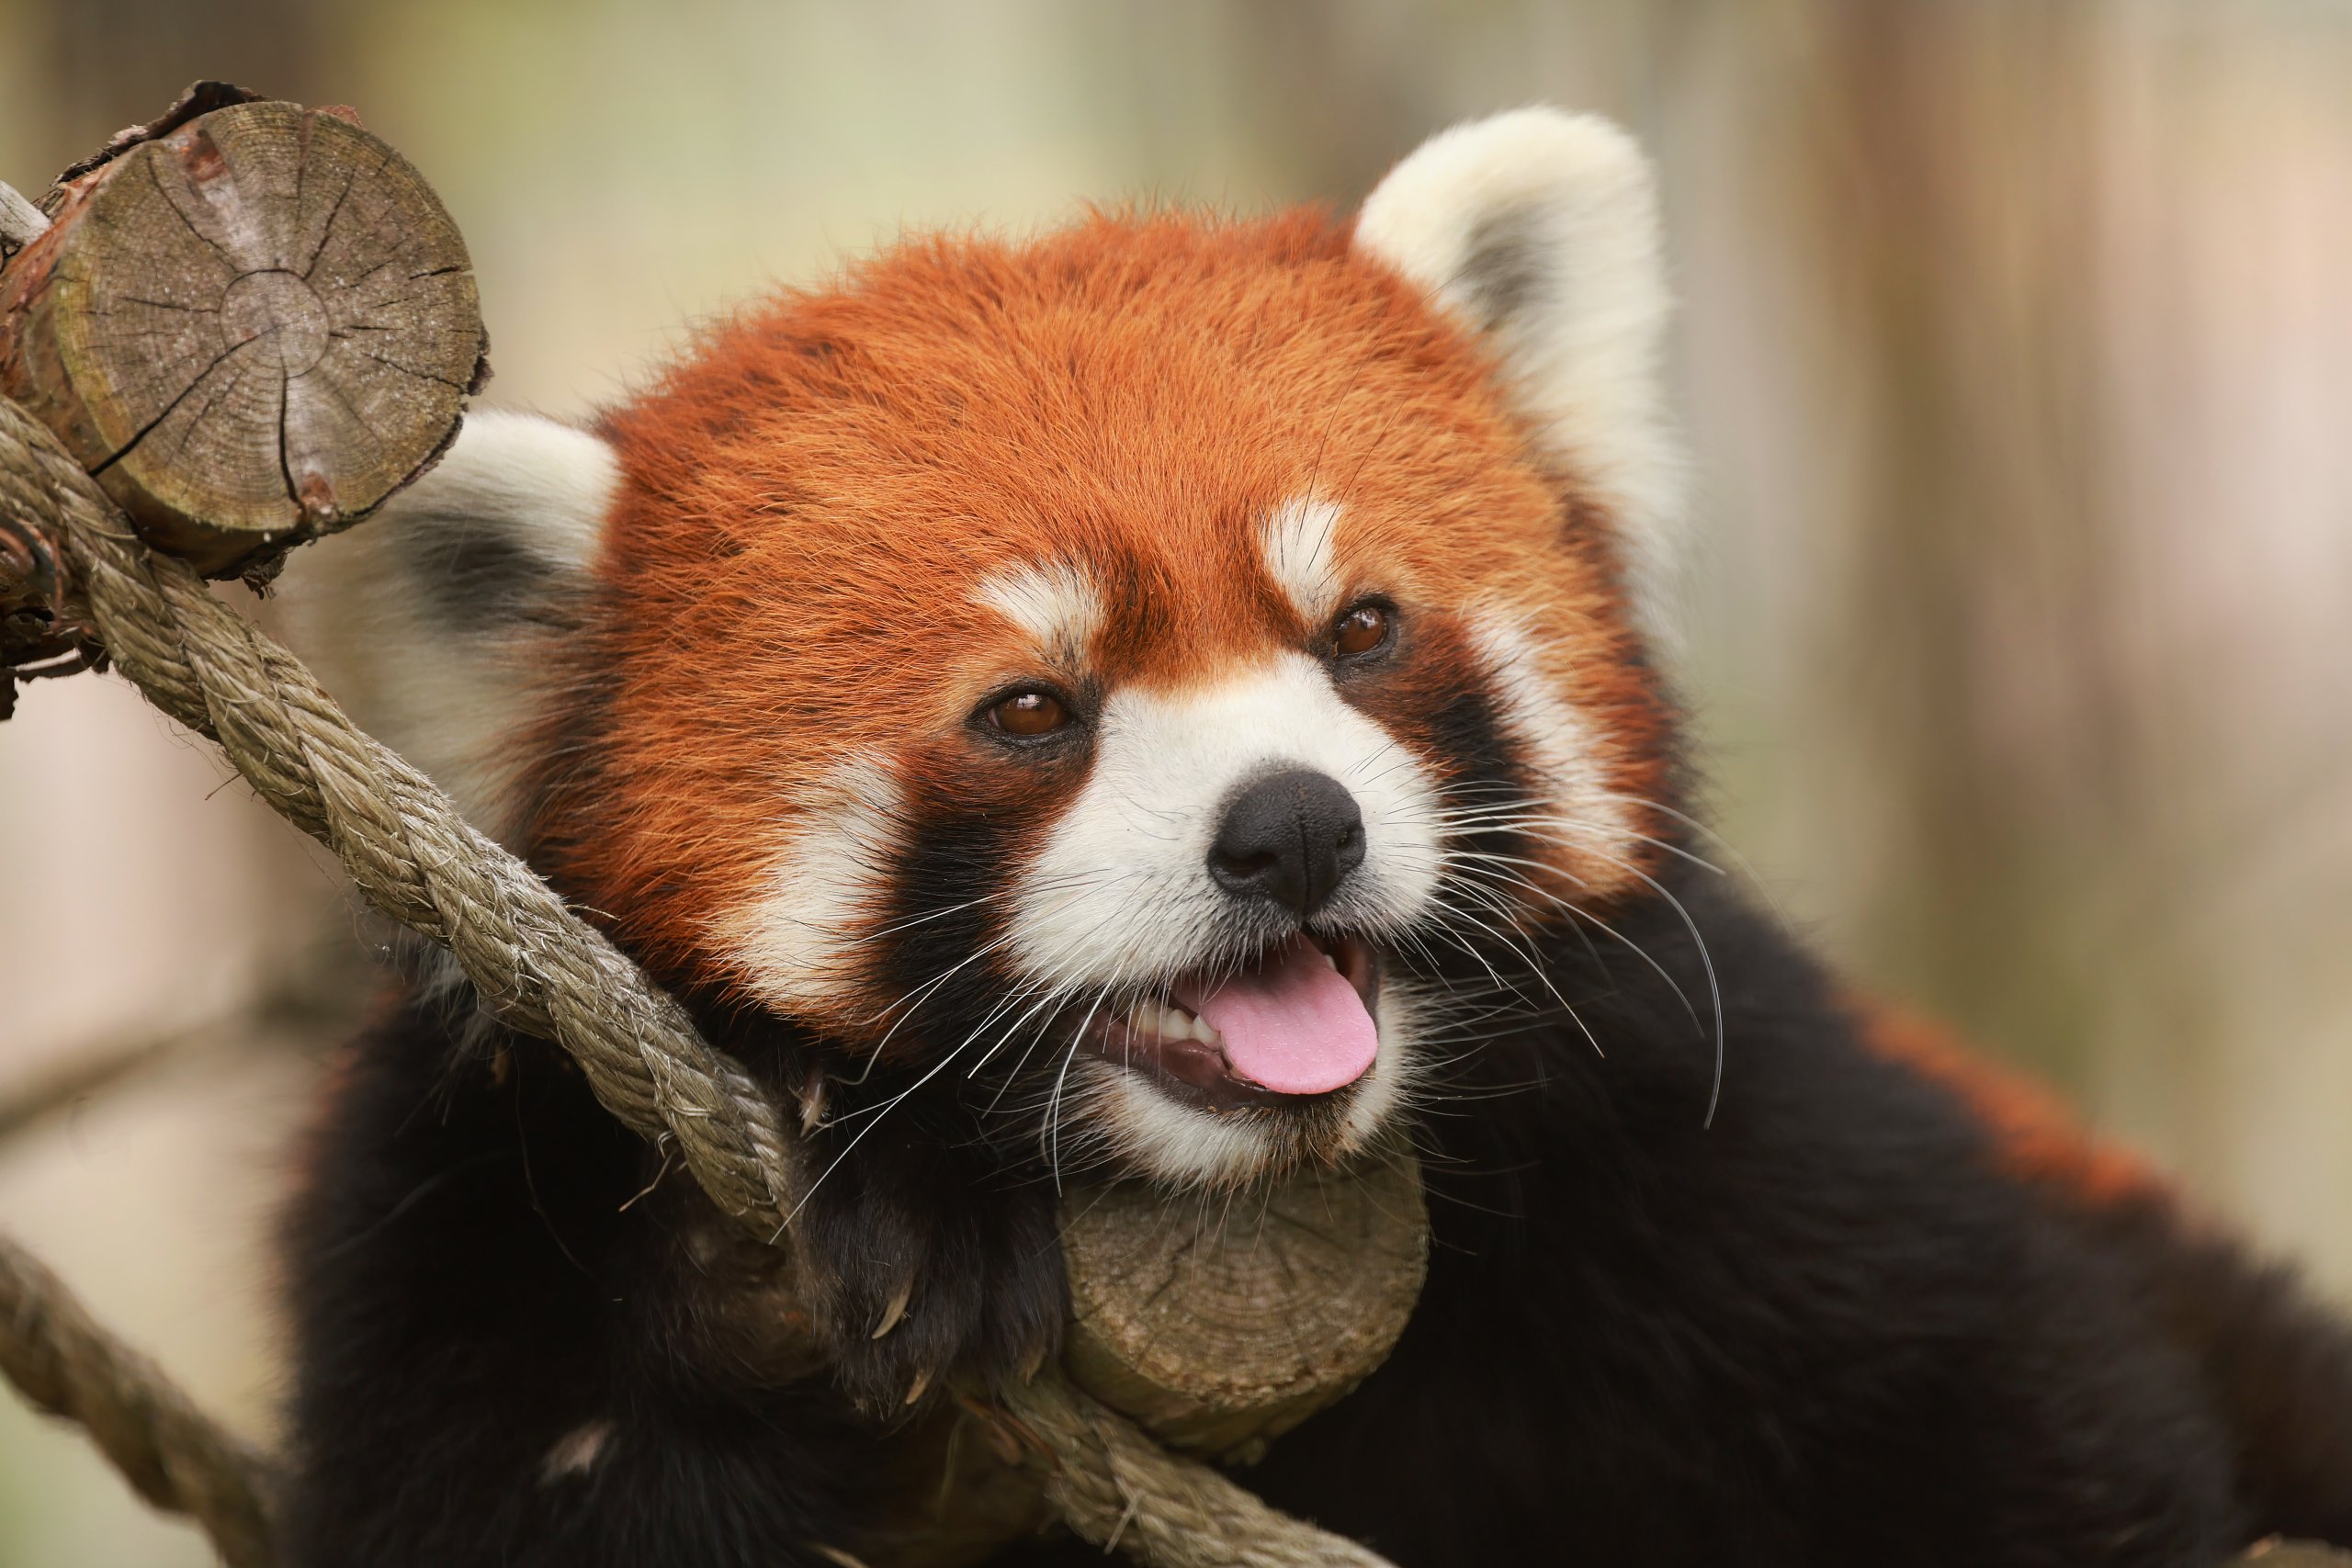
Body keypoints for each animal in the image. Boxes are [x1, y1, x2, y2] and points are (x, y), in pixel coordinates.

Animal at [278, 108, 2352, 1567]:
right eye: (1030, 710)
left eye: (1357, 627)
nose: (1288, 832)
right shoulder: (455, 1203)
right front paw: (806, 1210)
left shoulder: (1730, 1130)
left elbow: (2011, 1422)